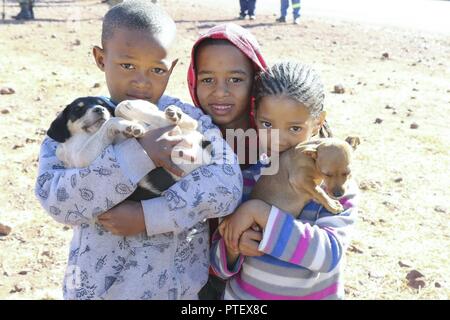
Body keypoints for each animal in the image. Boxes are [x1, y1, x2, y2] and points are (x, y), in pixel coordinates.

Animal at [47, 96, 213, 200]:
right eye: (78, 109)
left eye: (102, 104)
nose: (99, 109)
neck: (89, 134)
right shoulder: (83, 157)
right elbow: (111, 121)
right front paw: (128, 126)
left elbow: (116, 112)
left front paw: (130, 124)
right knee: (182, 126)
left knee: (189, 123)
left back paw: (174, 113)